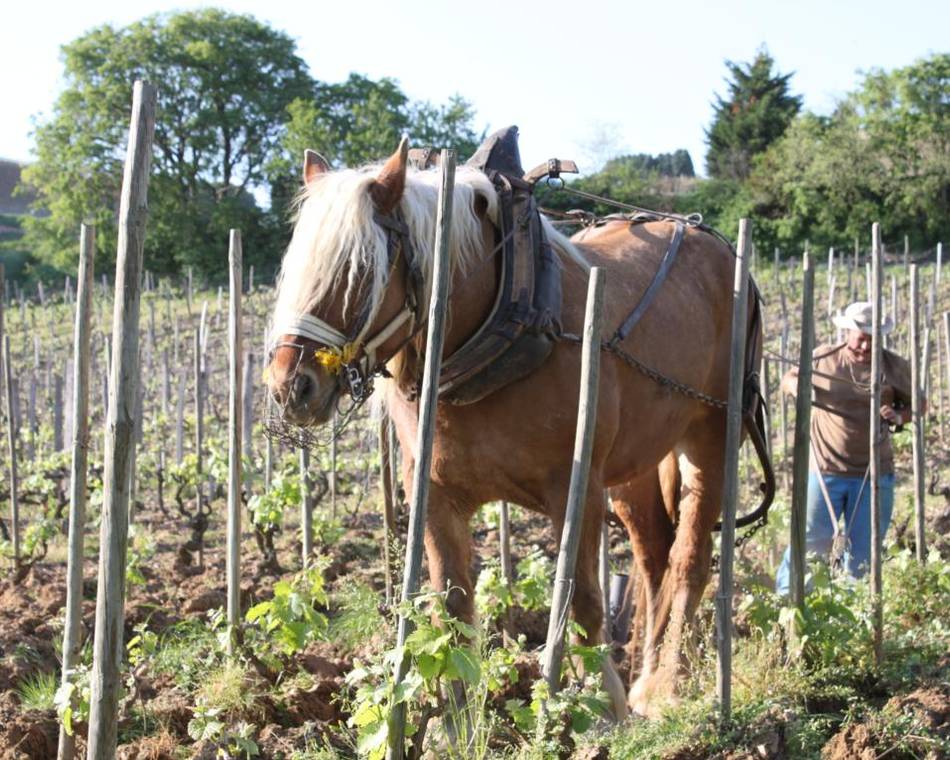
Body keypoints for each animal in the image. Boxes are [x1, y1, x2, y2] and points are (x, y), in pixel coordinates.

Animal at [264, 134, 768, 716]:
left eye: (359, 268)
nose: (289, 386)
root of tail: (715, 245)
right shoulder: (432, 494)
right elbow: (452, 609)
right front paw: (455, 720)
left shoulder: (576, 490)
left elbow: (582, 603)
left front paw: (604, 705)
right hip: (637, 464)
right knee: (653, 559)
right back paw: (646, 670)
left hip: (711, 433)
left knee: (690, 558)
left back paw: (663, 686)